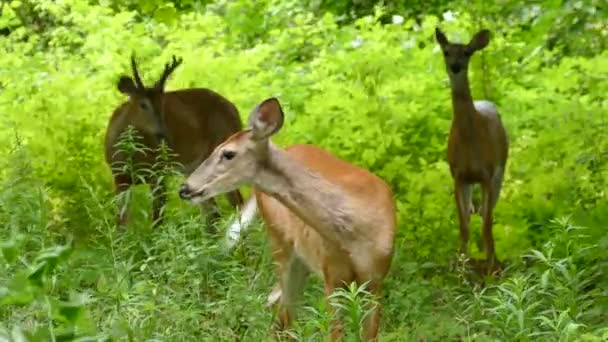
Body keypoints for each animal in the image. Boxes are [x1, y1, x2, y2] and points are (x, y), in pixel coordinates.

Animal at [104, 54, 245, 230]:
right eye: (143, 104)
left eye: (162, 103)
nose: (164, 134)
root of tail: (234, 110)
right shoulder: (119, 176)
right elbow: (121, 223)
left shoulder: (157, 173)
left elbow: (157, 219)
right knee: (212, 213)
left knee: (236, 202)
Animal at [178, 97, 396, 340]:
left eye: (228, 153)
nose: (185, 188)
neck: (356, 233)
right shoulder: (332, 278)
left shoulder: (376, 279)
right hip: (281, 244)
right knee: (282, 315)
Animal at [434, 28, 510, 274]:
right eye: (446, 51)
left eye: (467, 52)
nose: (455, 66)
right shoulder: (458, 176)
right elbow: (464, 225)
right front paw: (461, 267)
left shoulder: (487, 174)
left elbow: (486, 224)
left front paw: (491, 269)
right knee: (471, 212)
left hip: (500, 173)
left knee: (487, 213)